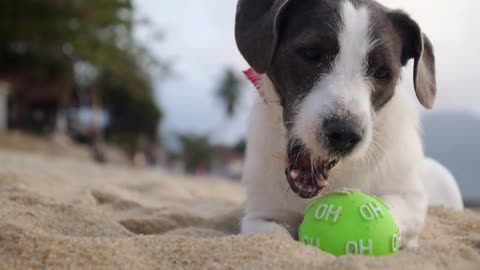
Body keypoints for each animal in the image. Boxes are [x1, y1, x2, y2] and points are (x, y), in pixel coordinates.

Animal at [236, 0, 464, 249]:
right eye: (311, 53)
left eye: (382, 73)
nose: (345, 134)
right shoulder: (260, 217)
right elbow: (276, 238)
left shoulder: (409, 199)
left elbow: (390, 211)